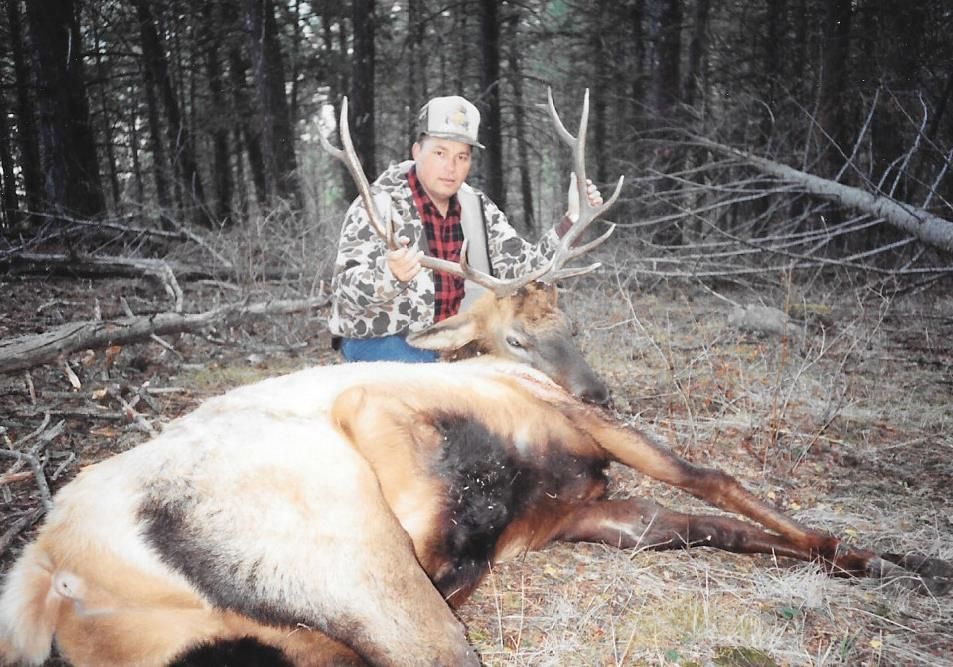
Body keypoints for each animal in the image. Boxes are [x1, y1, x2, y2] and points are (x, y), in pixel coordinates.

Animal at [1, 92, 950, 667]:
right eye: (522, 340)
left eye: (574, 321)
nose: (599, 390)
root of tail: (49, 569)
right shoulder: (507, 424)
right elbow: (711, 476)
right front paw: (879, 551)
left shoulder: (581, 509)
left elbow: (708, 526)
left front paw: (882, 554)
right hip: (341, 554)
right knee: (436, 641)